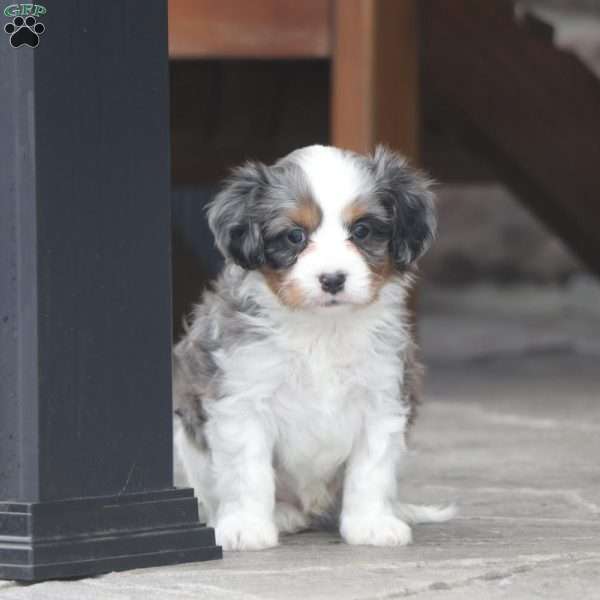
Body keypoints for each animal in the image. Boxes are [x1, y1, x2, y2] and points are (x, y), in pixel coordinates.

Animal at [173, 144, 454, 548]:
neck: (322, 329)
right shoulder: (243, 399)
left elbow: (370, 470)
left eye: (362, 230)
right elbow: (248, 473)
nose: (333, 279)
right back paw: (283, 514)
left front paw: (370, 523)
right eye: (295, 236)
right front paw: (246, 526)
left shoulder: (381, 398)